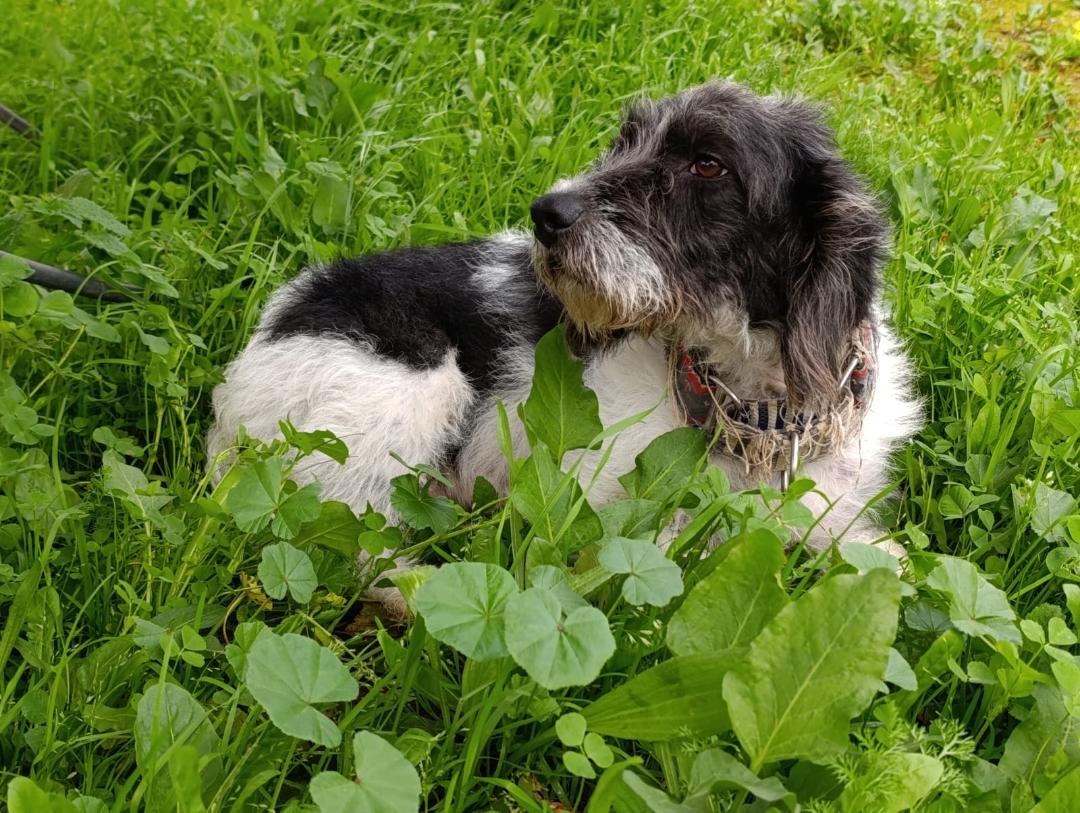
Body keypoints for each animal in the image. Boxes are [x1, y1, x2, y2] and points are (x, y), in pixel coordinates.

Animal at [207, 82, 921, 611]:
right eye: (626, 141)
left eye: (708, 164)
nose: (547, 213)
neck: (749, 408)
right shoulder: (600, 507)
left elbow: (870, 554)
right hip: (407, 385)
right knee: (348, 535)